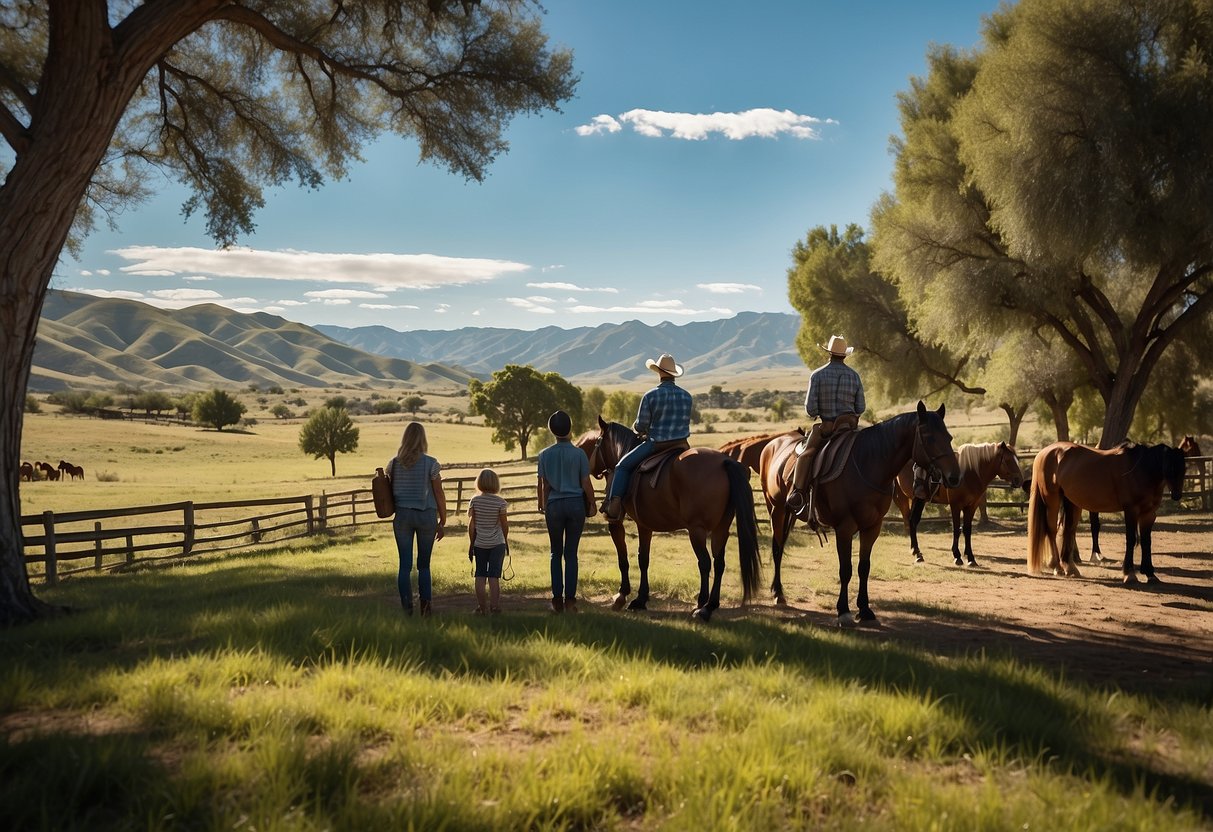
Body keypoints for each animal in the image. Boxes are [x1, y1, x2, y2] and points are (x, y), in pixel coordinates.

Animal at [587, 419, 756, 620]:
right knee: (719, 563)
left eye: (597, 442)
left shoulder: (621, 523)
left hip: (697, 530)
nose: (590, 468)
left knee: (705, 563)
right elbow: (644, 559)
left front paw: (624, 596)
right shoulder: (646, 526)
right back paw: (710, 605)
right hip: (721, 528)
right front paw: (640, 599)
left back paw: (701, 606)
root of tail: (725, 462)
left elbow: (628, 558)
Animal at [756, 400, 965, 620]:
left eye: (949, 437)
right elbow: (845, 569)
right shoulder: (845, 527)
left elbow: (864, 567)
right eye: (930, 438)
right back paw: (778, 593)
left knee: (781, 546)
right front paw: (843, 610)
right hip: (776, 509)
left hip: (789, 513)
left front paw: (864, 609)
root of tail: (771, 445)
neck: (868, 466)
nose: (954, 477)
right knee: (777, 547)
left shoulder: (872, 527)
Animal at [892, 443, 1023, 567]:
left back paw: (916, 552)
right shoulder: (956, 505)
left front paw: (971, 558)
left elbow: (967, 530)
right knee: (911, 520)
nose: (1019, 480)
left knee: (912, 521)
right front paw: (957, 557)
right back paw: (917, 553)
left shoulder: (971, 506)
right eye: (1008, 460)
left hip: (918, 499)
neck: (969, 474)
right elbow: (956, 529)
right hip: (912, 499)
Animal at [1023, 443, 1183, 587]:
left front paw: (1150, 574)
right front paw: (1129, 574)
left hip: (1071, 502)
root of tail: (1043, 453)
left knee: (1068, 530)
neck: (1140, 470)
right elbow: (1131, 539)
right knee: (1052, 530)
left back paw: (1070, 568)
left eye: (1183, 468)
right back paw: (1057, 566)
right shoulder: (1131, 511)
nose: (1177, 495)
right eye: (1168, 468)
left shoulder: (1149, 514)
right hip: (1052, 500)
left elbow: (1146, 541)